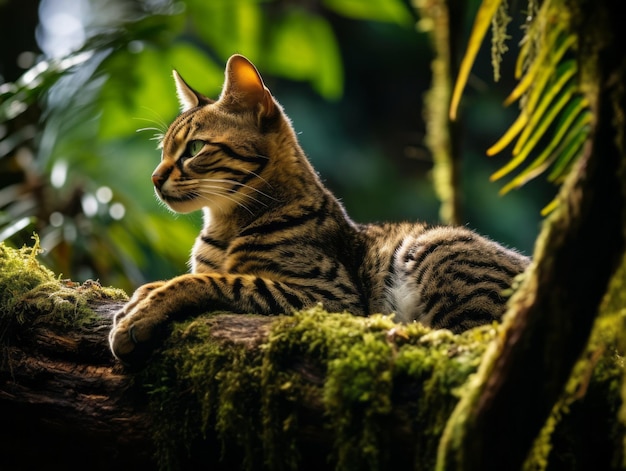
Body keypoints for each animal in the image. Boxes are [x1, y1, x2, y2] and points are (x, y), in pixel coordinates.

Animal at [107, 53, 528, 366]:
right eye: (163, 151)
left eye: (194, 149)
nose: (154, 178)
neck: (225, 227)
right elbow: (179, 279)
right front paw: (142, 295)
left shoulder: (330, 297)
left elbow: (215, 281)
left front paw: (144, 311)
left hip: (434, 248)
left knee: (467, 338)